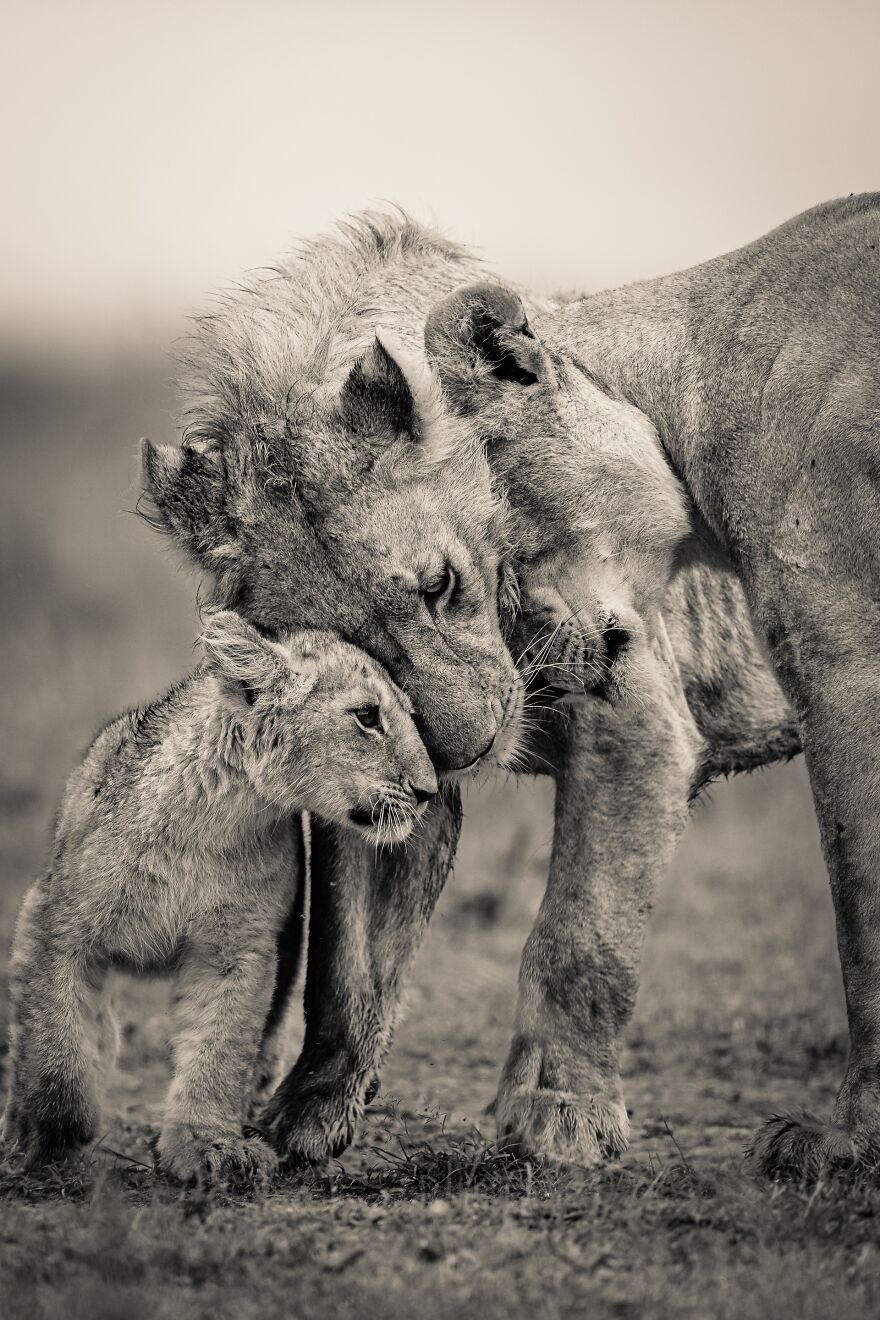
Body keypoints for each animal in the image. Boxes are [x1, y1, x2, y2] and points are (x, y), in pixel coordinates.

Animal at [143, 208, 807, 1177]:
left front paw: (562, 1111)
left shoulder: (635, 733)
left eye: (438, 584)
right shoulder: (376, 773)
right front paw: (310, 1110)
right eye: (352, 660)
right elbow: (347, 960)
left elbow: (581, 939)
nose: (465, 750)